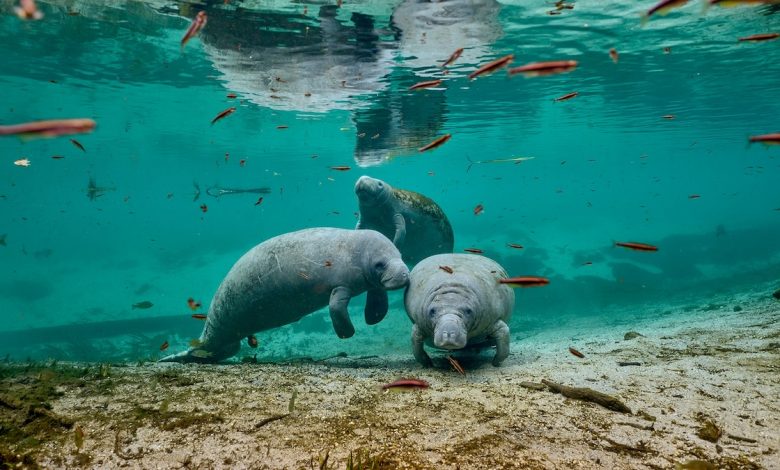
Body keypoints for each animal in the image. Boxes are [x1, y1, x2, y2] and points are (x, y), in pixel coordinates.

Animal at [162, 228, 412, 364]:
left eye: (401, 255)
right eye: (380, 264)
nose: (404, 275)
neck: (361, 256)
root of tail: (204, 340)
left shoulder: (370, 281)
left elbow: (378, 296)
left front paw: (373, 318)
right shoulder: (341, 285)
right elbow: (336, 308)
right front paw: (347, 334)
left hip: (226, 340)